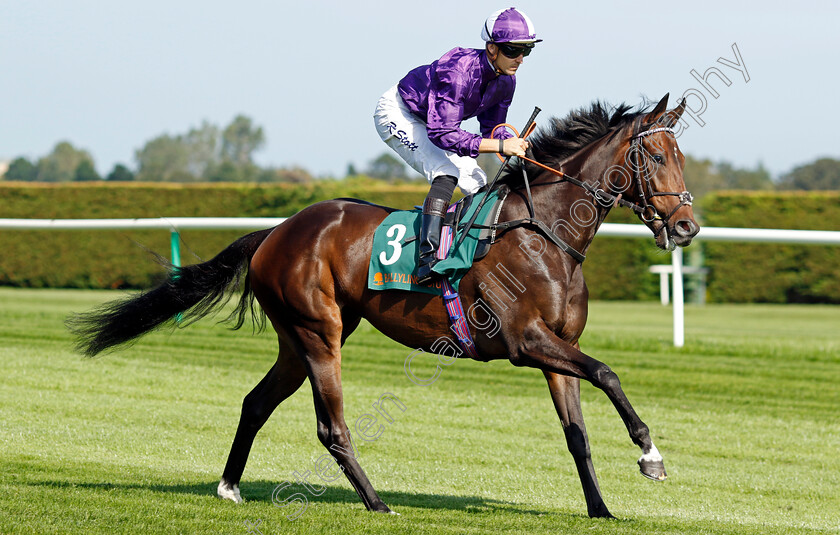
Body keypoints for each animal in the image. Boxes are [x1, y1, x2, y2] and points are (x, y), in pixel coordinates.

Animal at [69, 93, 696, 520]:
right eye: (655, 156)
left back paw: (229, 486)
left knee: (256, 402)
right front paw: (650, 455)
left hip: (300, 340)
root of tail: (275, 231)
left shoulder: (557, 347)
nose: (687, 226)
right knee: (331, 426)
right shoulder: (525, 341)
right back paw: (375, 502)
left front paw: (601, 508)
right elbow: (608, 373)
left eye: (681, 155)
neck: (543, 234)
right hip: (318, 332)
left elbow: (577, 431)